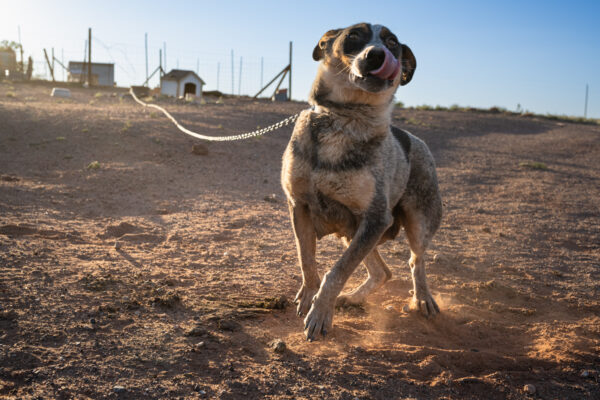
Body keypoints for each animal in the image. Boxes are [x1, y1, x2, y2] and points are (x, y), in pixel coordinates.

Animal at [280, 22, 440, 340]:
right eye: (354, 35)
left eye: (393, 44)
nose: (377, 54)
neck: (344, 119)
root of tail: (415, 140)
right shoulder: (299, 206)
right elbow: (307, 259)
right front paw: (309, 295)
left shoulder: (376, 218)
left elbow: (337, 271)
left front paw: (320, 312)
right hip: (353, 232)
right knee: (382, 272)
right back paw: (352, 298)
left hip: (415, 221)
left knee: (416, 261)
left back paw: (422, 299)